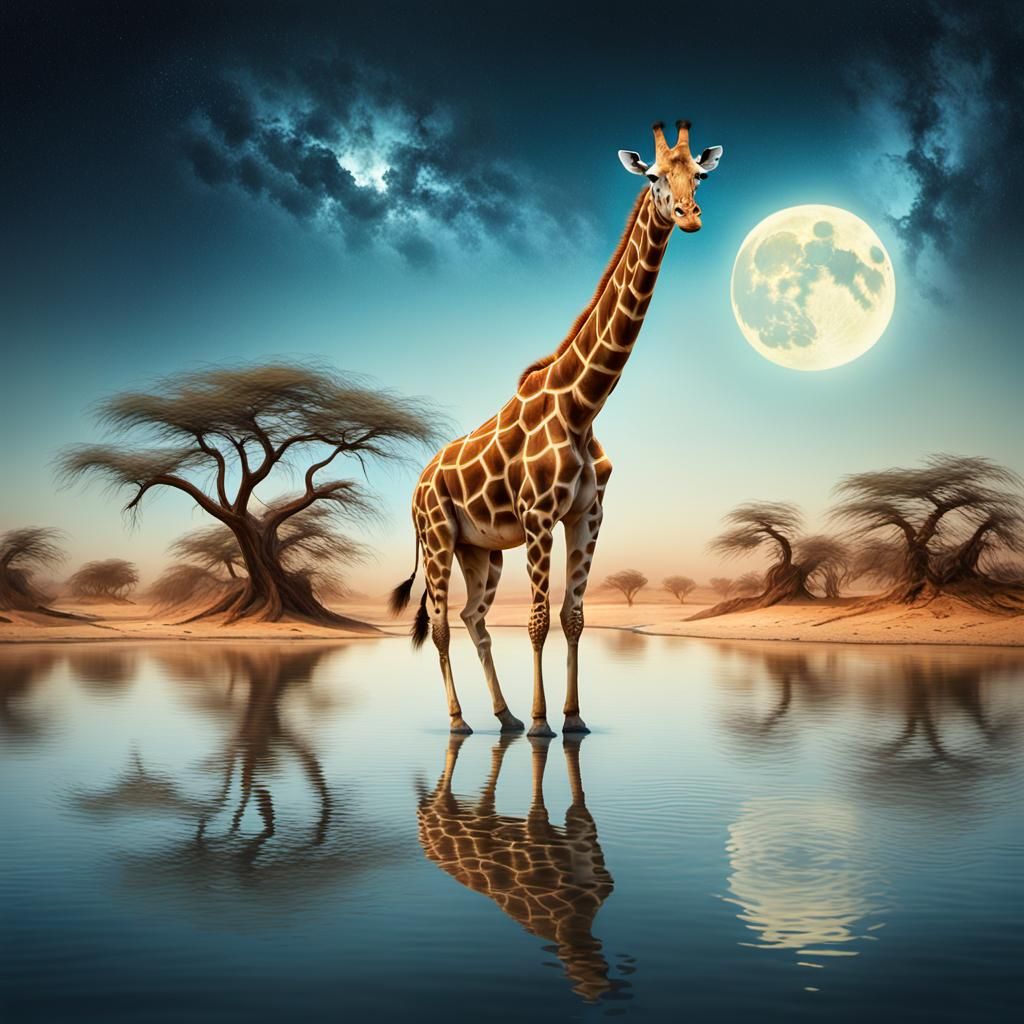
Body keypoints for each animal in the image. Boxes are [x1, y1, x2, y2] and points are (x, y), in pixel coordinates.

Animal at [392, 119, 723, 735]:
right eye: (652, 176)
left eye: (702, 175)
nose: (689, 215)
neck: (582, 405)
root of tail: (417, 486)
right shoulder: (539, 516)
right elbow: (540, 619)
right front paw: (544, 721)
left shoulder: (588, 513)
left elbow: (573, 616)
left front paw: (573, 718)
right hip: (438, 537)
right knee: (443, 622)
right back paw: (461, 721)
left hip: (482, 549)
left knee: (474, 616)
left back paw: (503, 716)